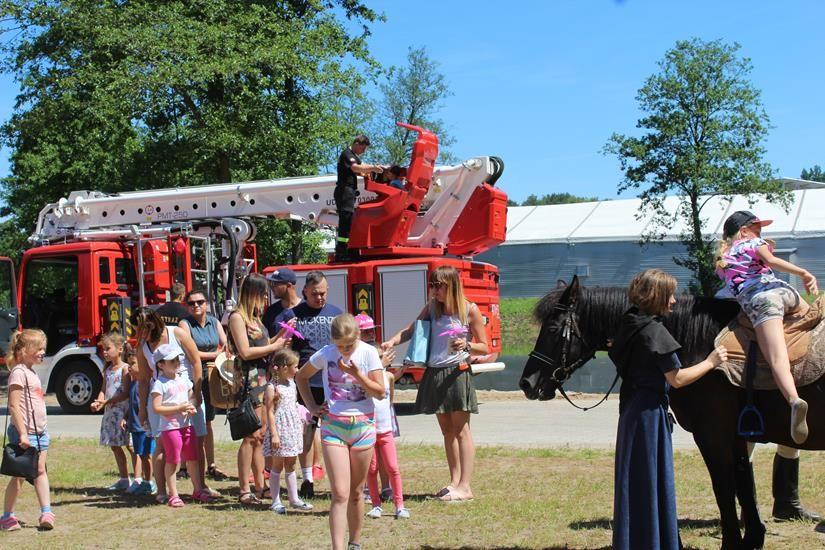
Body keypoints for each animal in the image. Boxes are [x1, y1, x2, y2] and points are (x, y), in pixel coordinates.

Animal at [520, 278, 824, 548]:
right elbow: (743, 483)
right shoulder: (736, 435)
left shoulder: (712, 435)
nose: (527, 382)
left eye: (552, 329)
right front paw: (751, 539)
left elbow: (723, 487)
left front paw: (732, 543)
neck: (700, 342)